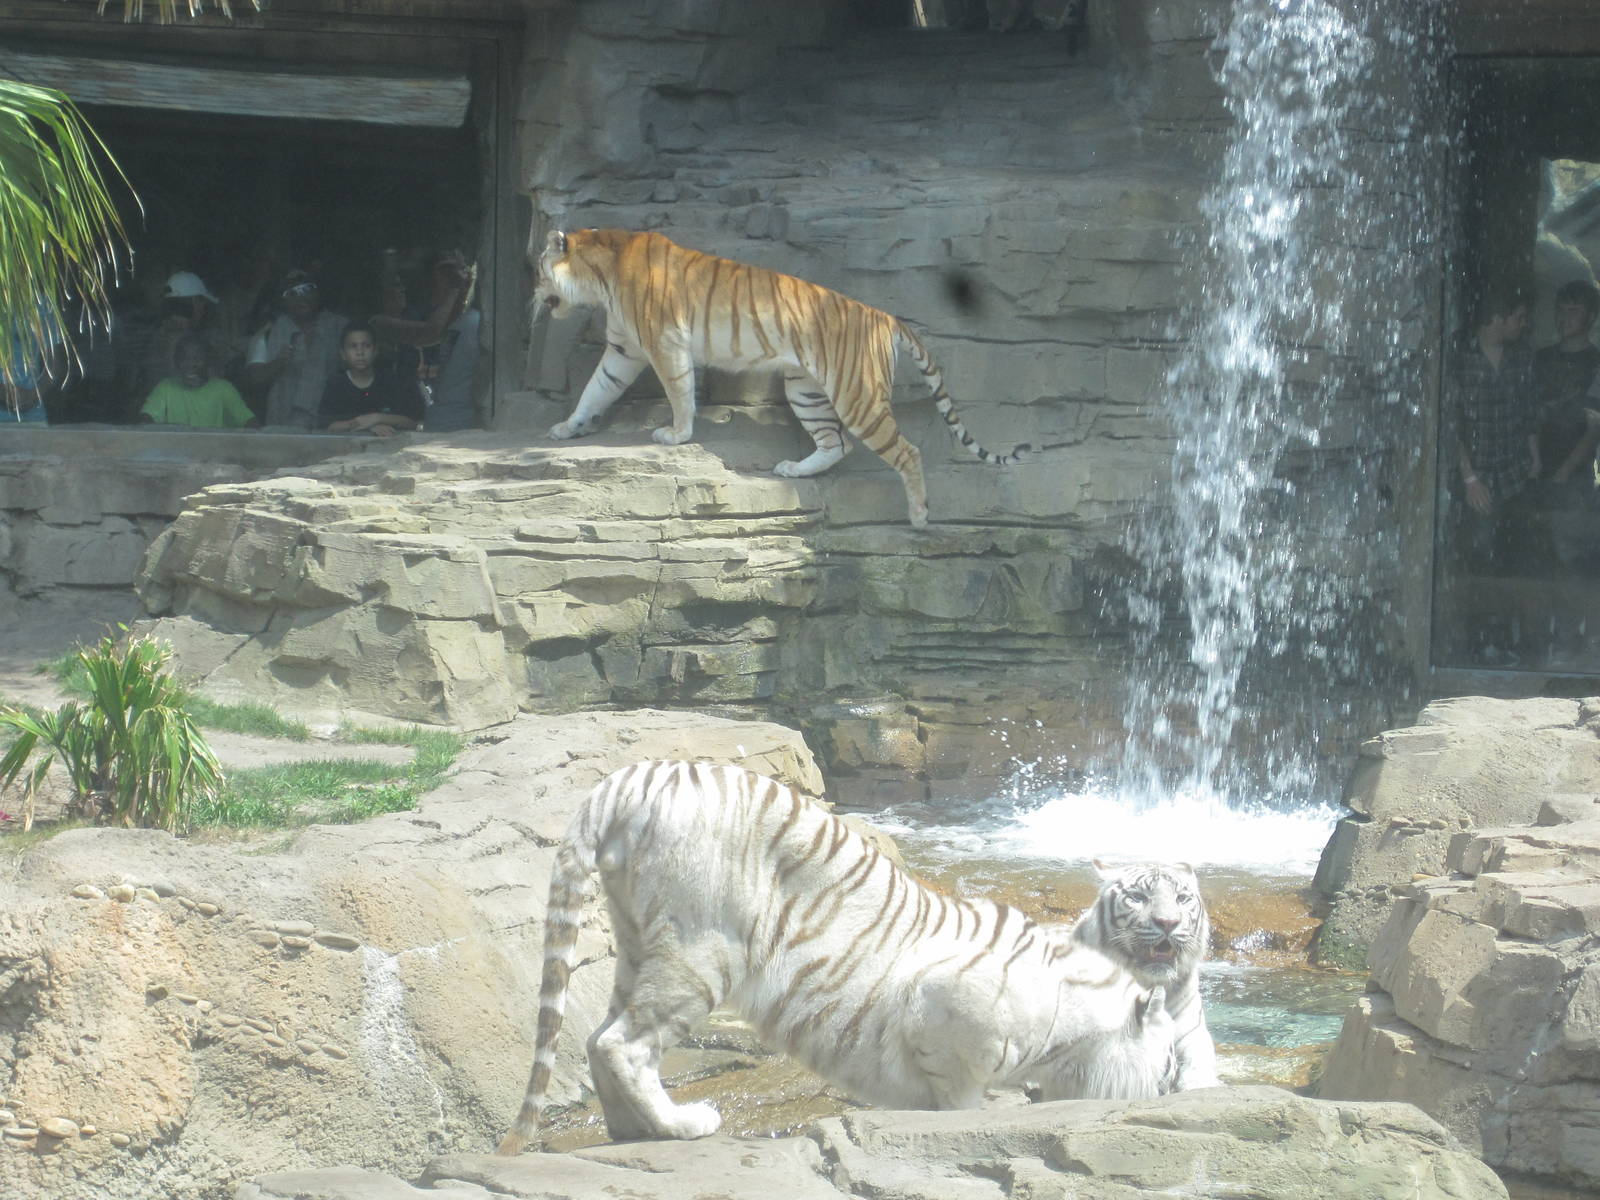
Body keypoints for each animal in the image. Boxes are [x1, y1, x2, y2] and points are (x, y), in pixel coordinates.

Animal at [496, 760, 1176, 1153]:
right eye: (1169, 1060)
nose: (1166, 1093)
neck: (1071, 1028)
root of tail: (625, 781)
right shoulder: (949, 1019)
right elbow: (959, 1105)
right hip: (700, 949)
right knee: (625, 1043)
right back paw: (683, 1125)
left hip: (638, 938)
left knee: (597, 1036)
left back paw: (630, 1132)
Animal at [529, 228, 1030, 528]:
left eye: (537, 270)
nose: (534, 294)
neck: (600, 277)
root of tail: (885, 316)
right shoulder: (624, 350)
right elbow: (596, 390)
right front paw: (567, 427)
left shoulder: (664, 340)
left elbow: (678, 389)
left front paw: (677, 434)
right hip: (805, 389)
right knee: (836, 444)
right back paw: (793, 470)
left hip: (857, 397)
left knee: (907, 451)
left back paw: (920, 515)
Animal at [1071, 859, 1220, 1091]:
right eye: (1137, 897)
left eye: (1181, 898)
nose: (1168, 922)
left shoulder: (1192, 1032)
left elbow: (1199, 1059)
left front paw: (1199, 1084)